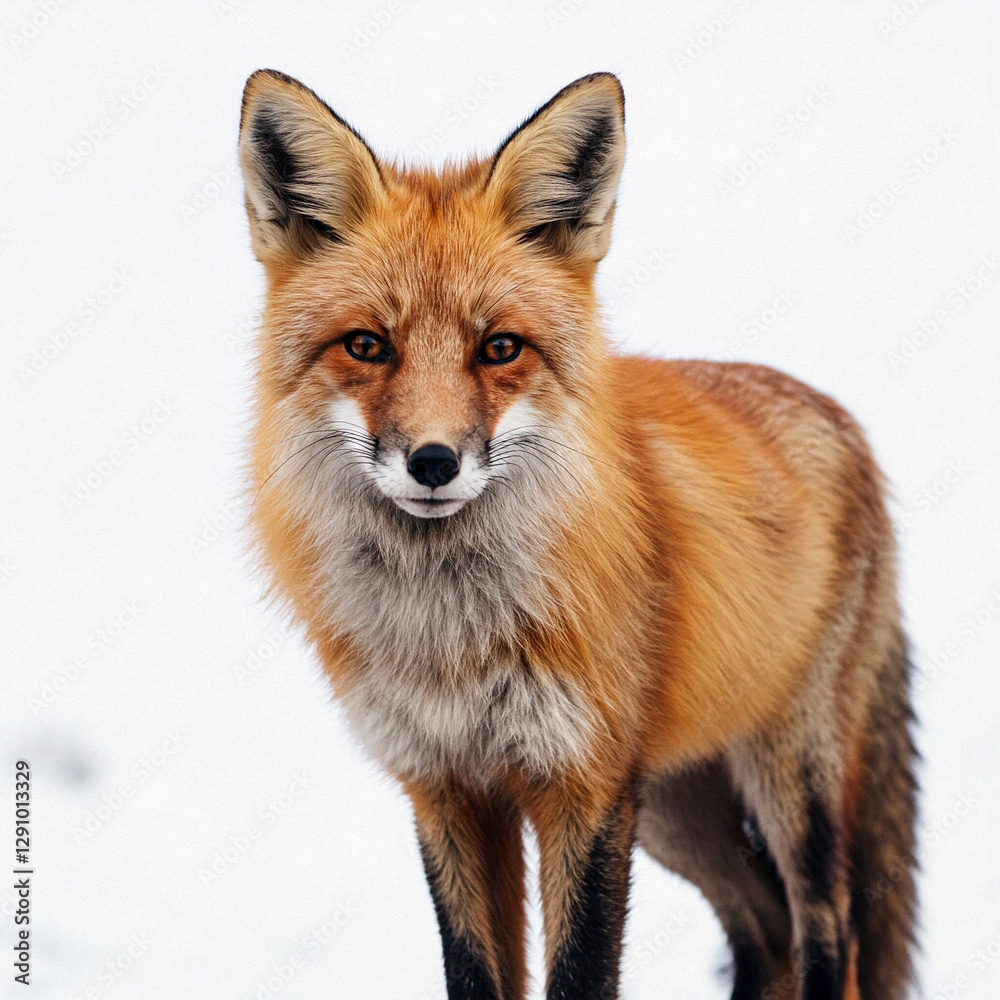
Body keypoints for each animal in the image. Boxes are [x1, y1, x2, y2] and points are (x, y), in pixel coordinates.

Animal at [238, 69, 918, 1000]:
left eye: (500, 348)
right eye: (368, 346)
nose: (434, 462)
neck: (452, 635)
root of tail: (844, 420)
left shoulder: (584, 787)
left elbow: (580, 975)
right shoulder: (448, 785)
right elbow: (476, 974)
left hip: (788, 779)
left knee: (825, 933)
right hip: (676, 808)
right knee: (762, 928)